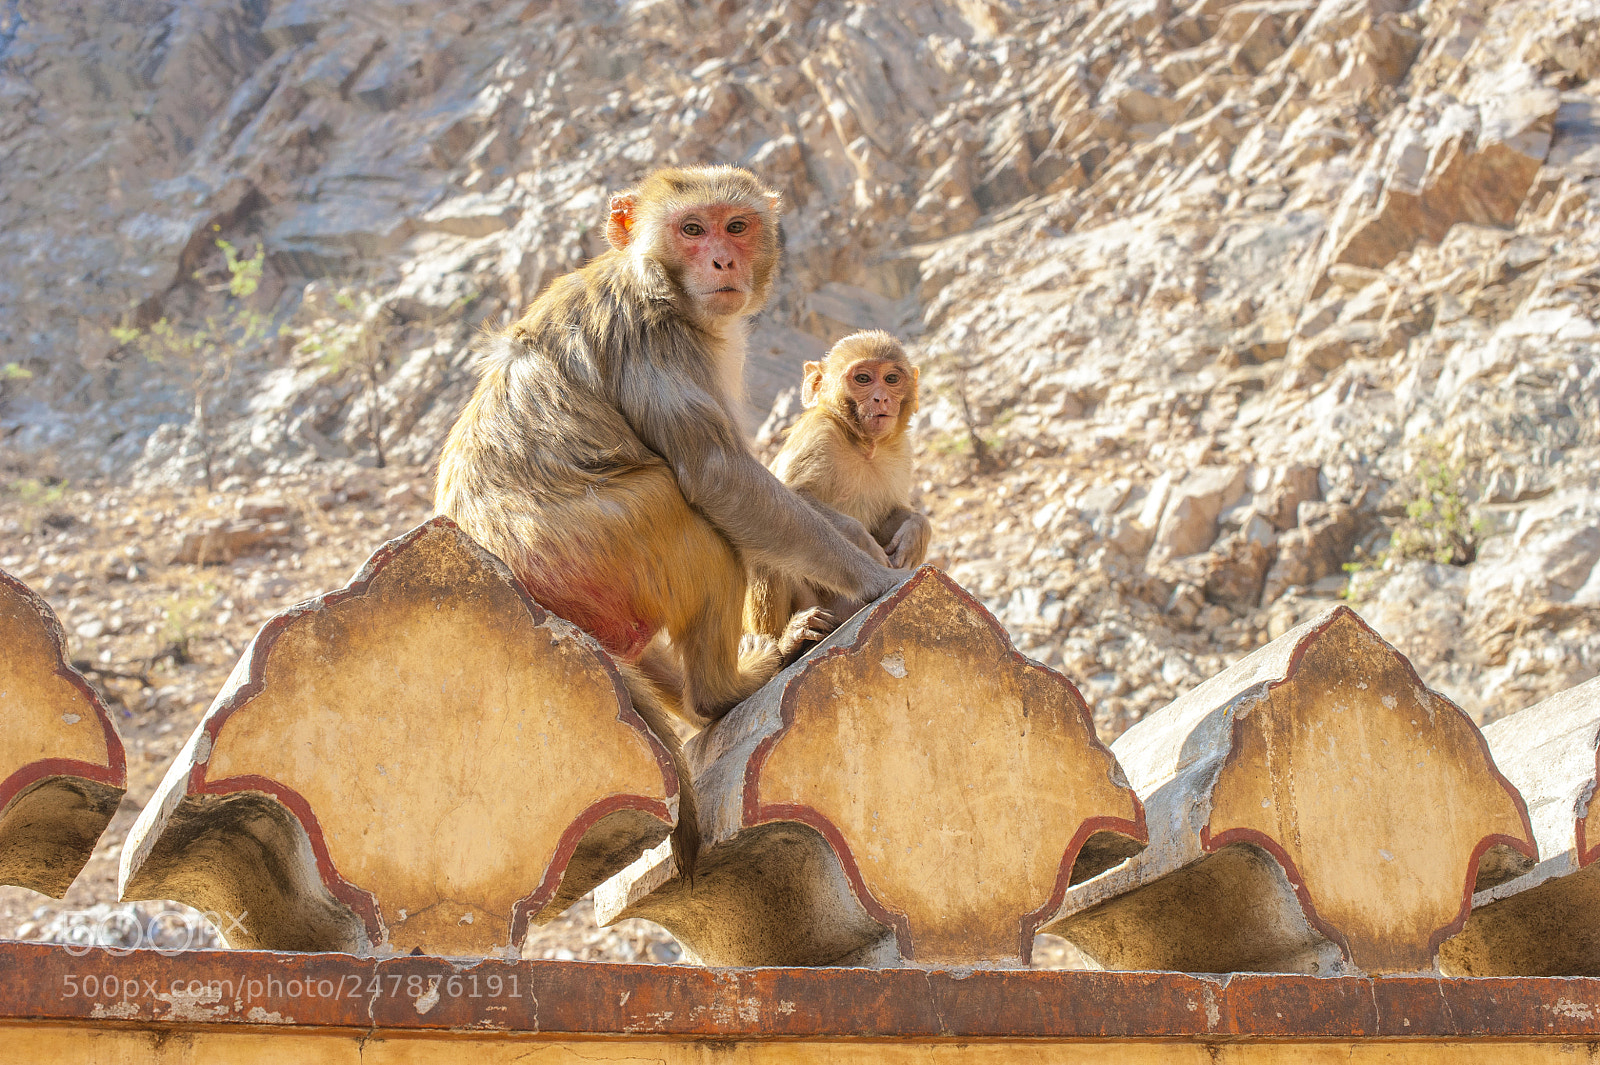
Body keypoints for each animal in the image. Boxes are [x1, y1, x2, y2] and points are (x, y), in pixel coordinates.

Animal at [434, 167, 903, 871]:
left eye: (736, 226)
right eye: (691, 228)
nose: (722, 259)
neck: (658, 280)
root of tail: (505, 571)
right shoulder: (655, 336)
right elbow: (719, 476)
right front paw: (872, 578)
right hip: (603, 544)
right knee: (692, 522)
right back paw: (722, 693)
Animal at [744, 330, 931, 650]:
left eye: (892, 379)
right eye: (863, 378)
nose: (881, 397)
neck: (862, 444)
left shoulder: (901, 451)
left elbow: (890, 515)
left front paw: (915, 532)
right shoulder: (818, 435)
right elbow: (785, 497)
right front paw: (864, 543)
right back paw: (787, 644)